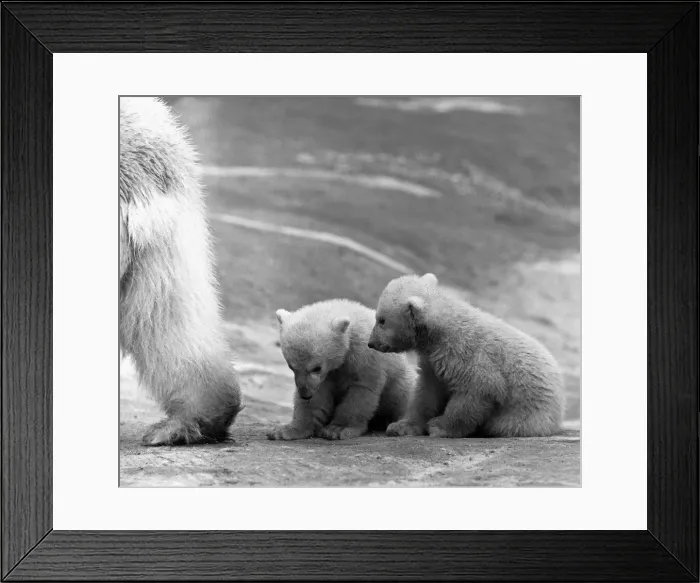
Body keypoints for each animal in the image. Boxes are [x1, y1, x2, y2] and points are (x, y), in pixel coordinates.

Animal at [267, 299, 416, 441]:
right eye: (291, 367)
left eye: (317, 368)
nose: (305, 394)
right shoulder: (326, 376)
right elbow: (317, 397)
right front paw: (285, 430)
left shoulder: (364, 356)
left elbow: (360, 391)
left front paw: (337, 429)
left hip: (401, 381)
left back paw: (402, 426)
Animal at [368, 273, 565, 438]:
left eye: (381, 320)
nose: (371, 343)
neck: (442, 330)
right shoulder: (433, 361)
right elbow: (427, 391)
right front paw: (401, 426)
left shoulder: (465, 353)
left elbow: (481, 388)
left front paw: (439, 427)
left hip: (526, 415)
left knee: (504, 424)